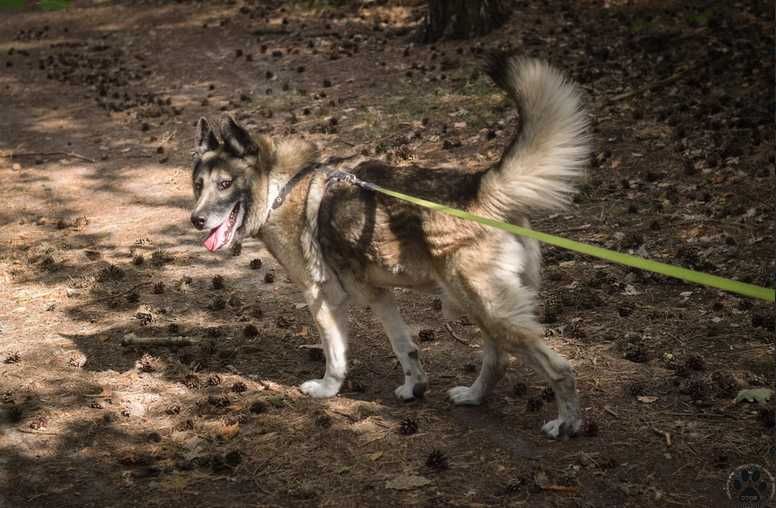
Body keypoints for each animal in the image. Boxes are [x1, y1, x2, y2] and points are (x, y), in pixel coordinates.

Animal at [189, 53, 588, 438]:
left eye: (224, 184)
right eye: (198, 185)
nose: (196, 220)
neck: (281, 188)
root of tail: (480, 186)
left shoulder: (322, 297)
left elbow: (335, 354)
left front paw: (328, 389)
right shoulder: (378, 294)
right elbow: (405, 347)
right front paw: (414, 388)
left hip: (487, 307)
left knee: (560, 368)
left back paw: (567, 422)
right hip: (474, 306)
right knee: (498, 359)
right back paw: (474, 396)